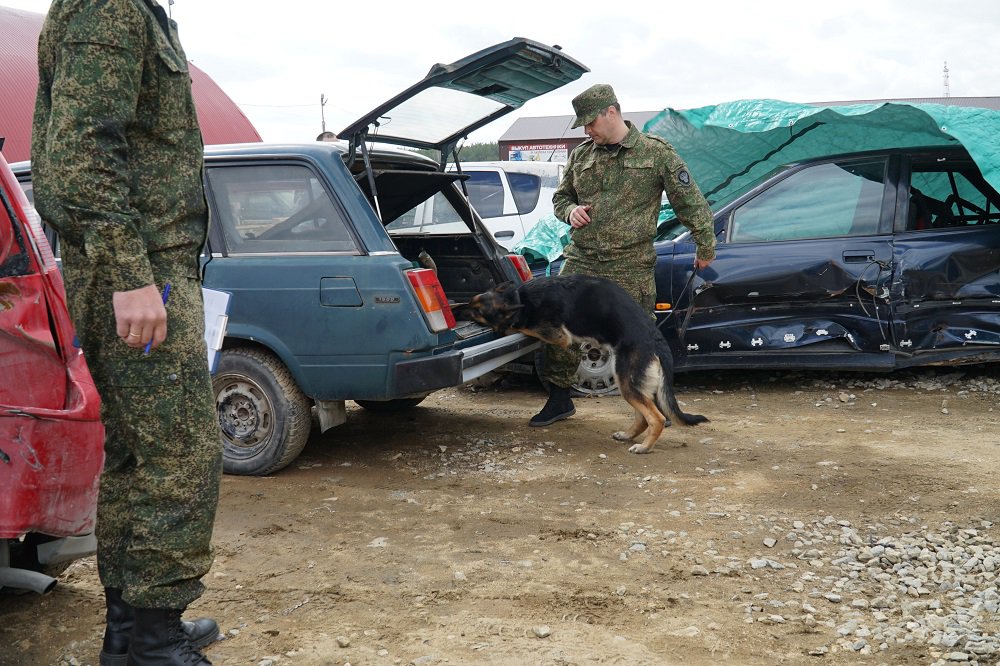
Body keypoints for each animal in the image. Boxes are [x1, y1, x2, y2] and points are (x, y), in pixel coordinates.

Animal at [464, 272, 708, 454]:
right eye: (473, 302)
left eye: (477, 311)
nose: (460, 307)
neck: (517, 297)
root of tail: (656, 340)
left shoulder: (558, 335)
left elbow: (522, 326)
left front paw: (506, 327)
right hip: (629, 383)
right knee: (643, 417)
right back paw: (627, 435)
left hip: (627, 381)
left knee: (656, 418)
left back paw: (644, 447)